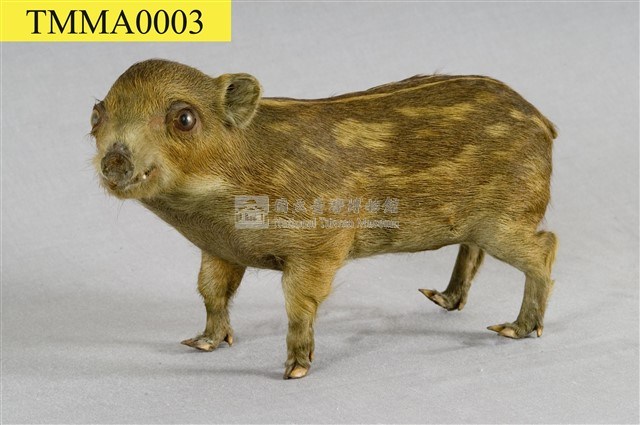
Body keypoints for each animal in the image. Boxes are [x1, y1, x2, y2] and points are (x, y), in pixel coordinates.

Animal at [90, 59, 558, 379]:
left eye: (184, 118)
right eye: (97, 115)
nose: (114, 159)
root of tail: (546, 123)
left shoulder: (320, 244)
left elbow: (299, 304)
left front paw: (293, 370)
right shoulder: (220, 249)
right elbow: (211, 293)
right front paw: (200, 344)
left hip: (509, 216)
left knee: (545, 246)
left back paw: (513, 329)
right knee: (473, 251)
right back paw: (438, 299)